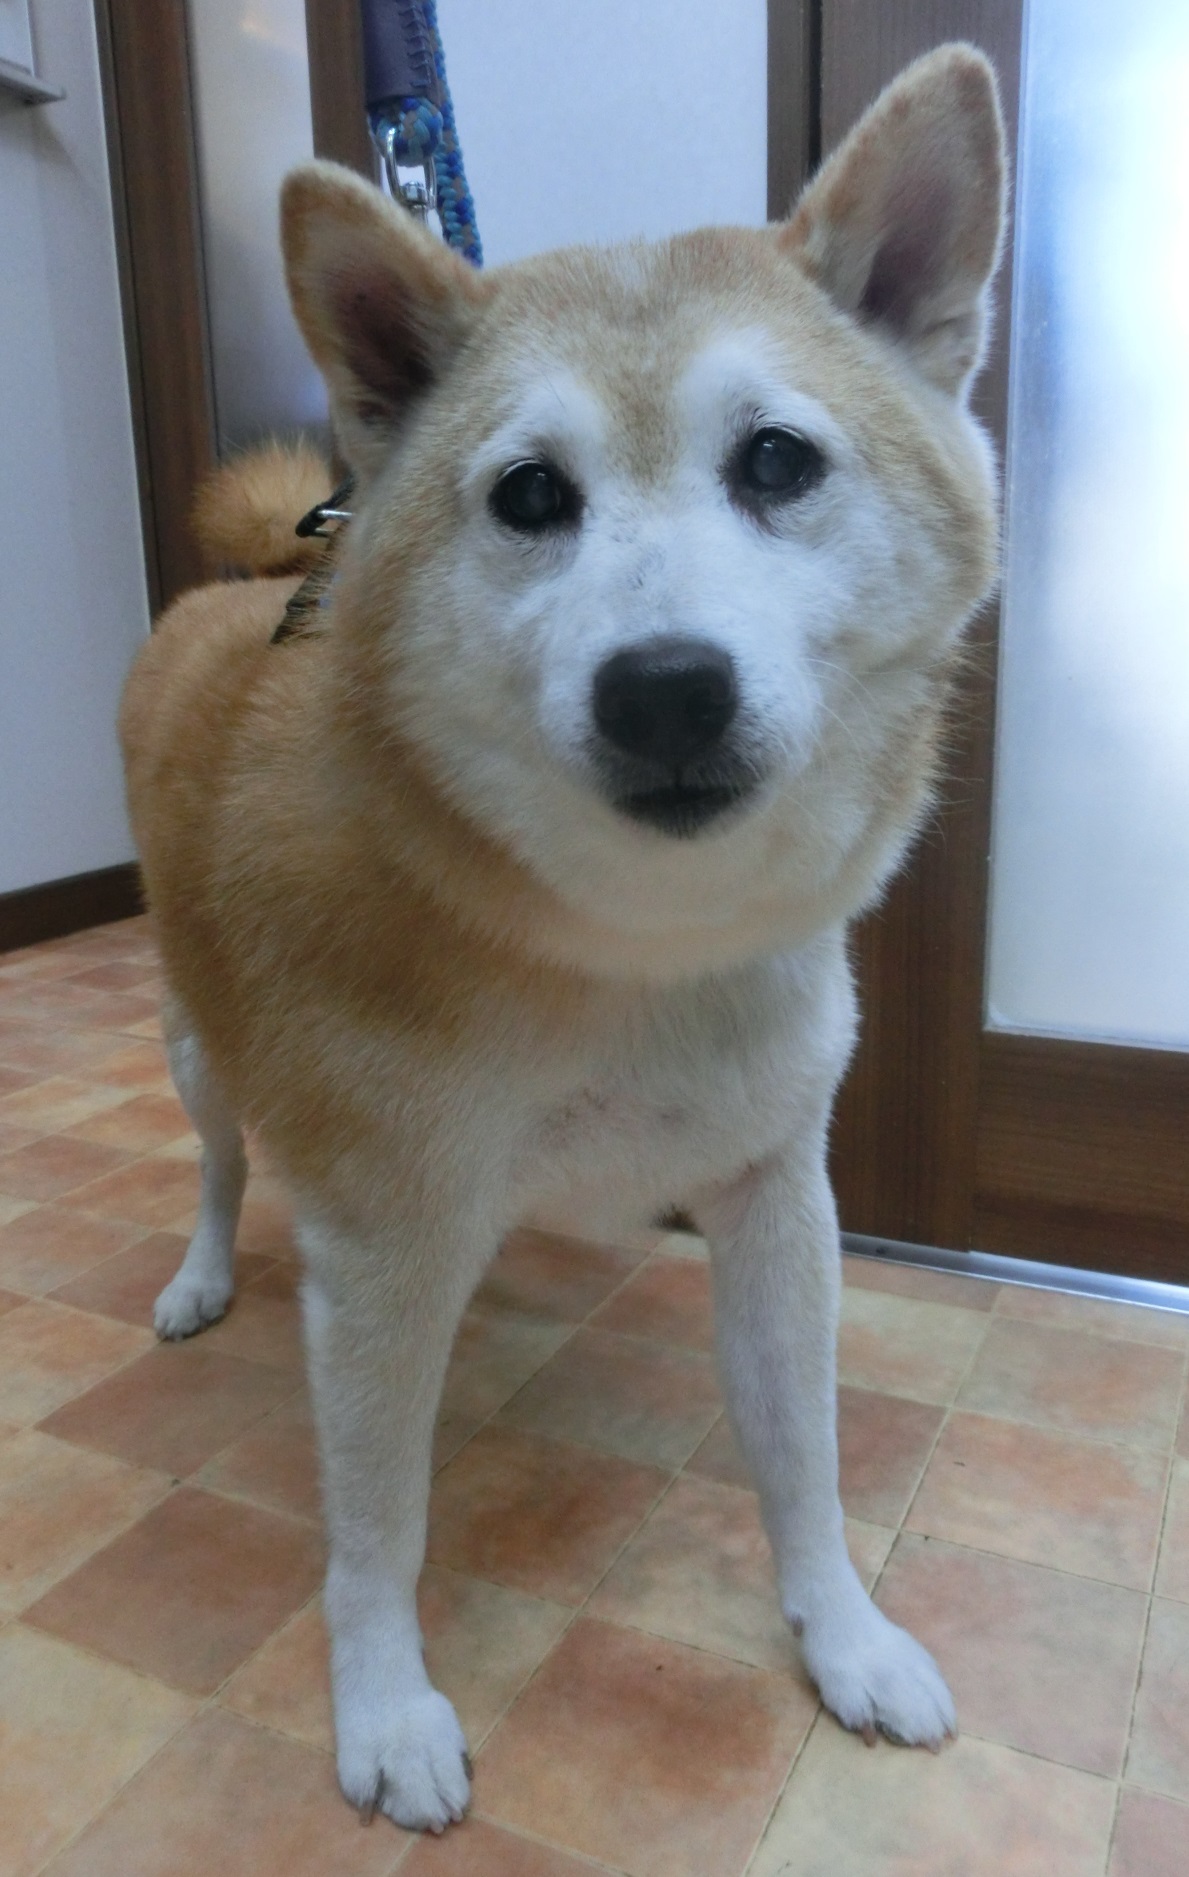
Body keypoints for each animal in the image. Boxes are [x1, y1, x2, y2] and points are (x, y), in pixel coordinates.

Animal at [120, 44, 1005, 1832]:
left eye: (777, 463)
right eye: (532, 495)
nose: (665, 687)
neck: (621, 958)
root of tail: (237, 590)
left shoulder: (774, 1191)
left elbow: (803, 1458)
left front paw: (845, 1637)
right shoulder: (383, 1238)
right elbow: (375, 1526)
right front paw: (385, 1706)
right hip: (195, 1050)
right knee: (224, 1166)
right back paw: (199, 1278)